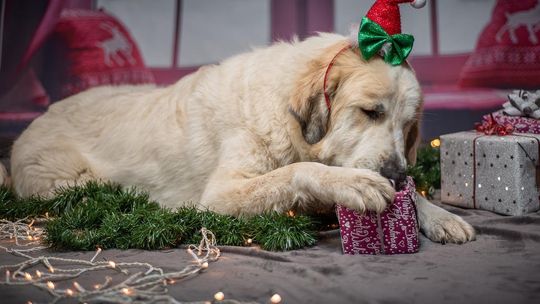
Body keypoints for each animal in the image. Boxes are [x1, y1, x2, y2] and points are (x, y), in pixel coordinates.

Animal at [6, 32, 474, 245]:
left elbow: (414, 195)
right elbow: (298, 170)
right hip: (71, 181)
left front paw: (437, 214)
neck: (289, 120)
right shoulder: (220, 196)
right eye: (370, 112)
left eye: (407, 127)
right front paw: (353, 184)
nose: (395, 175)